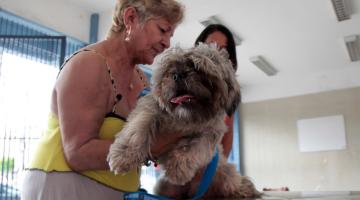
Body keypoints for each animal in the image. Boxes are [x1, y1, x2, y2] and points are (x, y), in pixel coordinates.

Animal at [105, 43, 260, 198]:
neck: (183, 117)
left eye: (198, 68)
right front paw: (124, 156)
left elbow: (193, 147)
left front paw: (179, 168)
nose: (178, 75)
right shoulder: (148, 110)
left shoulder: (209, 134)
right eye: (169, 71)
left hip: (225, 174)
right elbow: (138, 129)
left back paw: (243, 190)